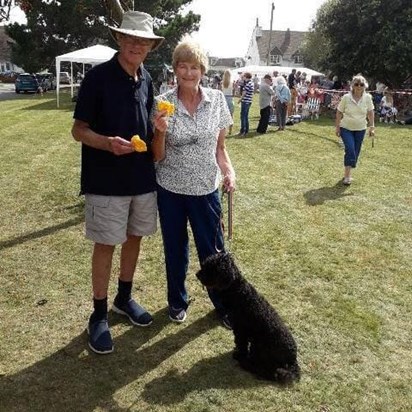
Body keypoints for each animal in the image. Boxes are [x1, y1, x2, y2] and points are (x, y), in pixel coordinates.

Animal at [196, 253, 300, 384]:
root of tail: (293, 361)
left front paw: (238, 355)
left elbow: (241, 344)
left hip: (261, 346)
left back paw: (246, 363)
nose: (197, 274)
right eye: (205, 264)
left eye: (211, 268)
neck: (239, 292)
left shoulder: (241, 330)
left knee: (267, 372)